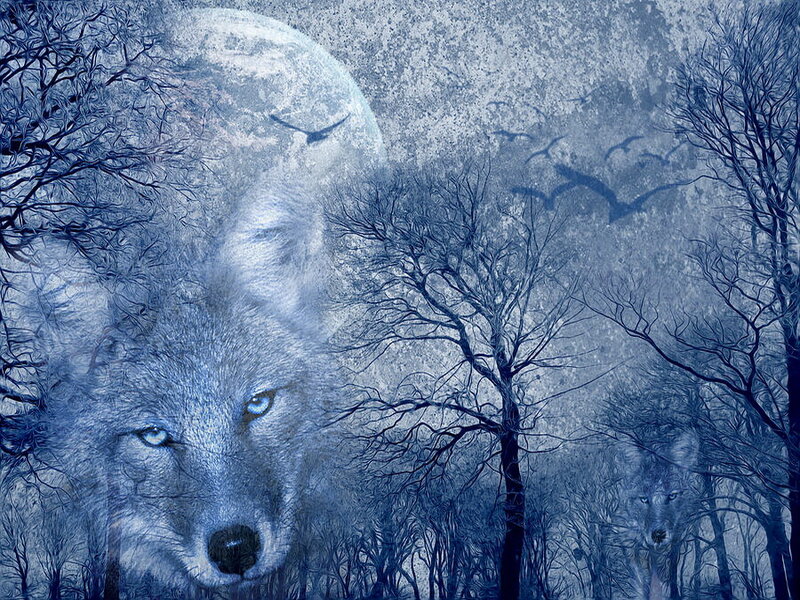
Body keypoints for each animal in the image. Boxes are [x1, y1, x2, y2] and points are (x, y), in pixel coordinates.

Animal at [618, 431, 699, 600]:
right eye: (644, 499)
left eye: (672, 496)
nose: (658, 535)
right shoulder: (630, 547)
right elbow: (640, 585)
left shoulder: (675, 546)